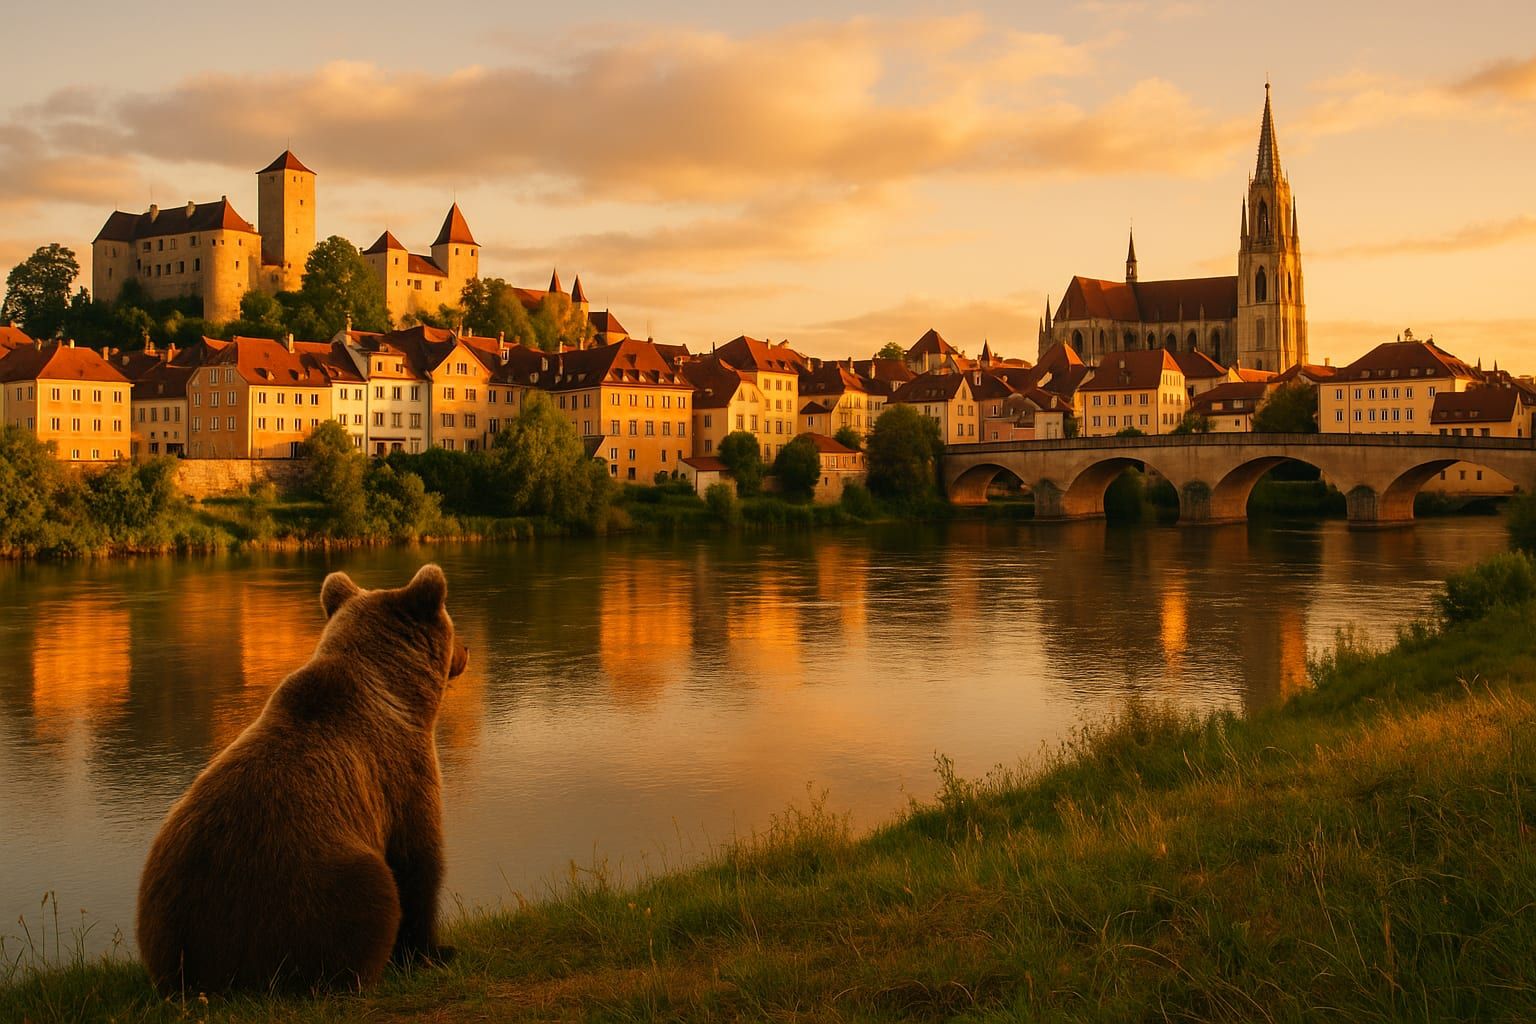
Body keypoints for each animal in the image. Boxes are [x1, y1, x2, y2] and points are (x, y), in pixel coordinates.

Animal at [136, 563, 468, 995]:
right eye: (451, 624)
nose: (466, 652)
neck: (398, 693)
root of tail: (197, 977)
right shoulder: (400, 774)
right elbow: (417, 862)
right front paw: (434, 951)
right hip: (310, 893)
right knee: (371, 898)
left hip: (166, 893)